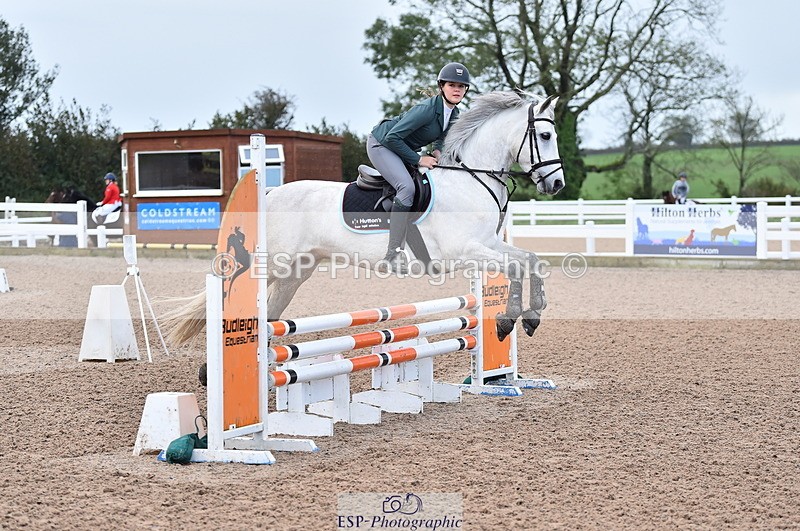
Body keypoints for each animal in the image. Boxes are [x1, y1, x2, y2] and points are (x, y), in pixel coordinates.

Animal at [164, 91, 565, 345]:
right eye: (545, 135)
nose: (557, 184)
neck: (470, 178)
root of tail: (272, 192)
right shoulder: (464, 252)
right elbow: (516, 267)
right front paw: (508, 321)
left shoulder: (487, 244)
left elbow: (531, 260)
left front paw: (533, 315)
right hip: (274, 263)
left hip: (297, 270)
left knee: (272, 314)